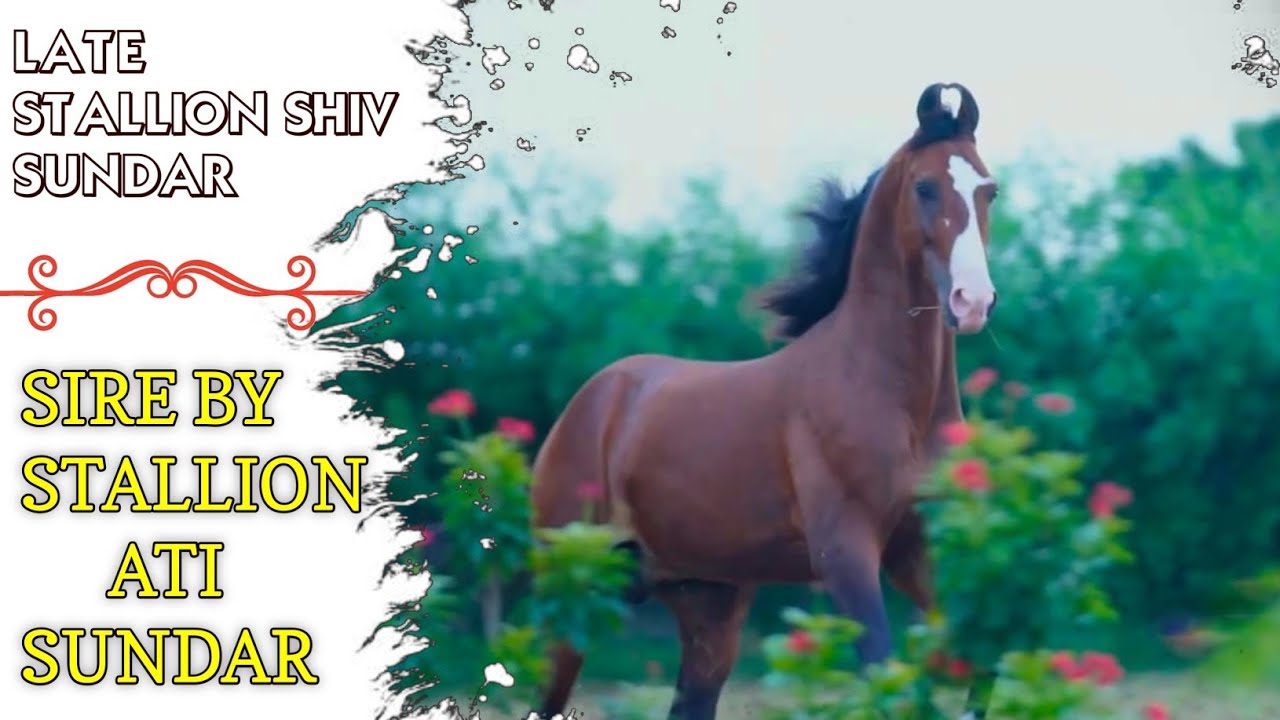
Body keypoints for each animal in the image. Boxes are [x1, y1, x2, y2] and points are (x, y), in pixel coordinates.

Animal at [531, 81, 1001, 720]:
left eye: (989, 189)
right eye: (925, 186)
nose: (972, 301)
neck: (898, 406)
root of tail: (588, 406)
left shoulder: (916, 548)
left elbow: (982, 662)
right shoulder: (846, 555)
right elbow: (884, 677)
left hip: (708, 601)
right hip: (572, 596)